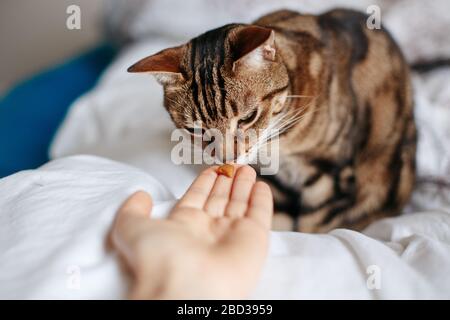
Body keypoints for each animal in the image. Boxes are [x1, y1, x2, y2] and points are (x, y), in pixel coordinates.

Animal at [126, 8, 414, 232]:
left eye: (248, 117)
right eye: (195, 130)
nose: (228, 158)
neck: (280, 143)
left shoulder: (331, 179)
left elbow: (312, 227)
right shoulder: (275, 183)